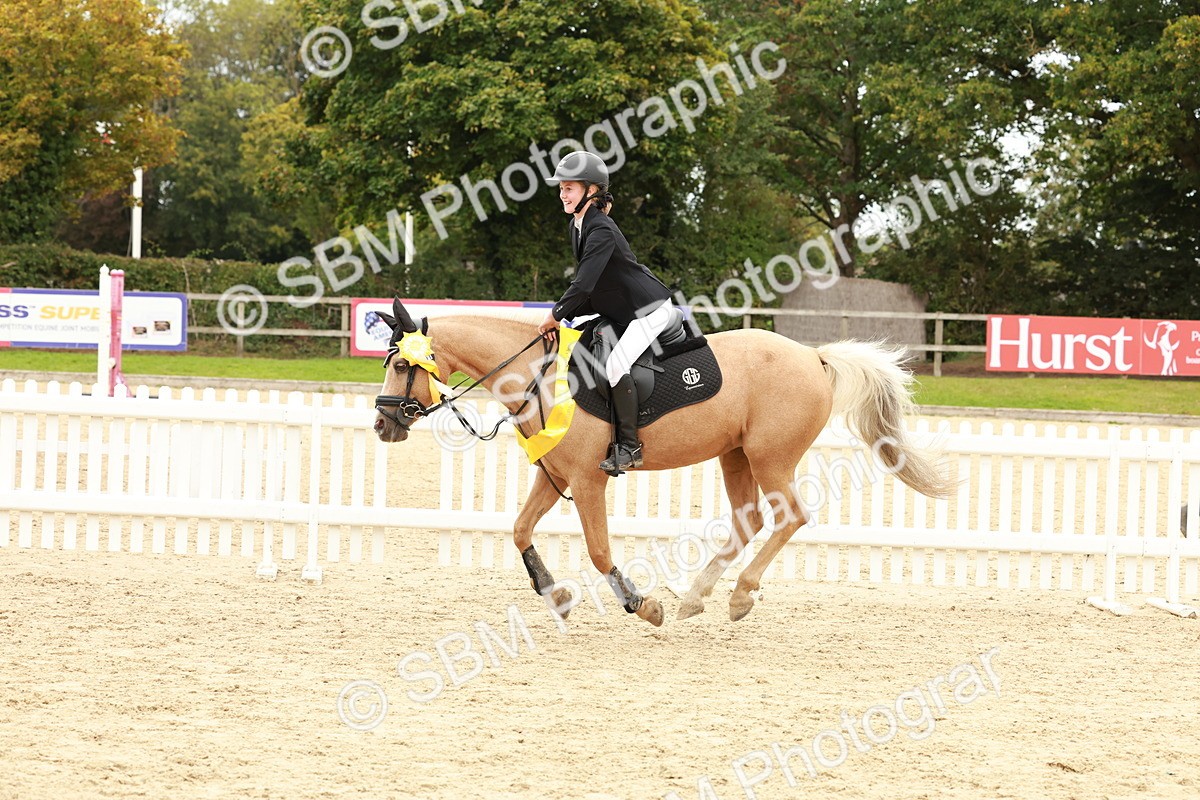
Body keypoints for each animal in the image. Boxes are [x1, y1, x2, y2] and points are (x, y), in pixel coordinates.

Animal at [373, 298, 954, 627]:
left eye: (401, 365)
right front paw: (555, 595)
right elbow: (519, 531)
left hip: (770, 457)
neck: (537, 373)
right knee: (749, 521)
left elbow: (600, 552)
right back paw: (696, 597)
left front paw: (641, 605)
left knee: (789, 516)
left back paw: (738, 597)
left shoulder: (586, 482)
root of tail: (814, 356)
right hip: (735, 455)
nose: (382, 425)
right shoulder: (553, 475)